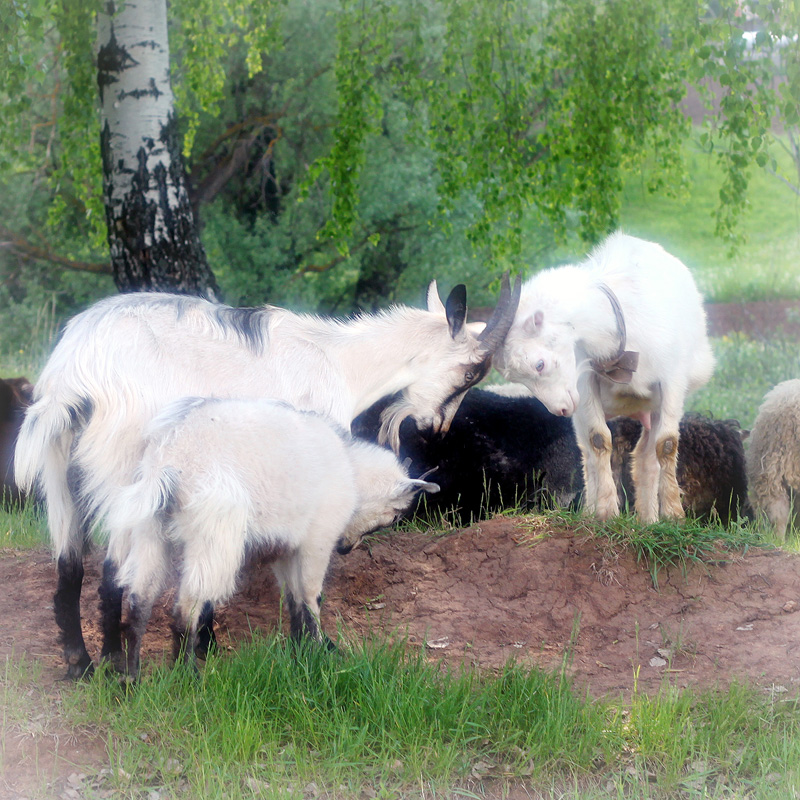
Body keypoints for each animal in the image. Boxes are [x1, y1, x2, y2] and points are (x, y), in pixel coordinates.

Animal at [104, 396, 440, 680]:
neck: (350, 470)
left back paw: (131, 679)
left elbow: (293, 597)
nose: (346, 548)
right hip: (212, 535)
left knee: (139, 601)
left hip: (149, 531)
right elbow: (311, 595)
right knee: (186, 609)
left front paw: (301, 649)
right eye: (395, 515)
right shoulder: (316, 540)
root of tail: (169, 457)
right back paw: (188, 677)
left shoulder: (285, 547)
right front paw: (320, 650)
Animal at [494, 233, 712, 524]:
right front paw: (606, 511)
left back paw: (650, 519)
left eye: (539, 364)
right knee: (590, 451)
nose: (560, 410)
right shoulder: (585, 383)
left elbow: (666, 444)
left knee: (646, 454)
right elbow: (599, 440)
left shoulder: (672, 379)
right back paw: (596, 511)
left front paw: (675, 514)